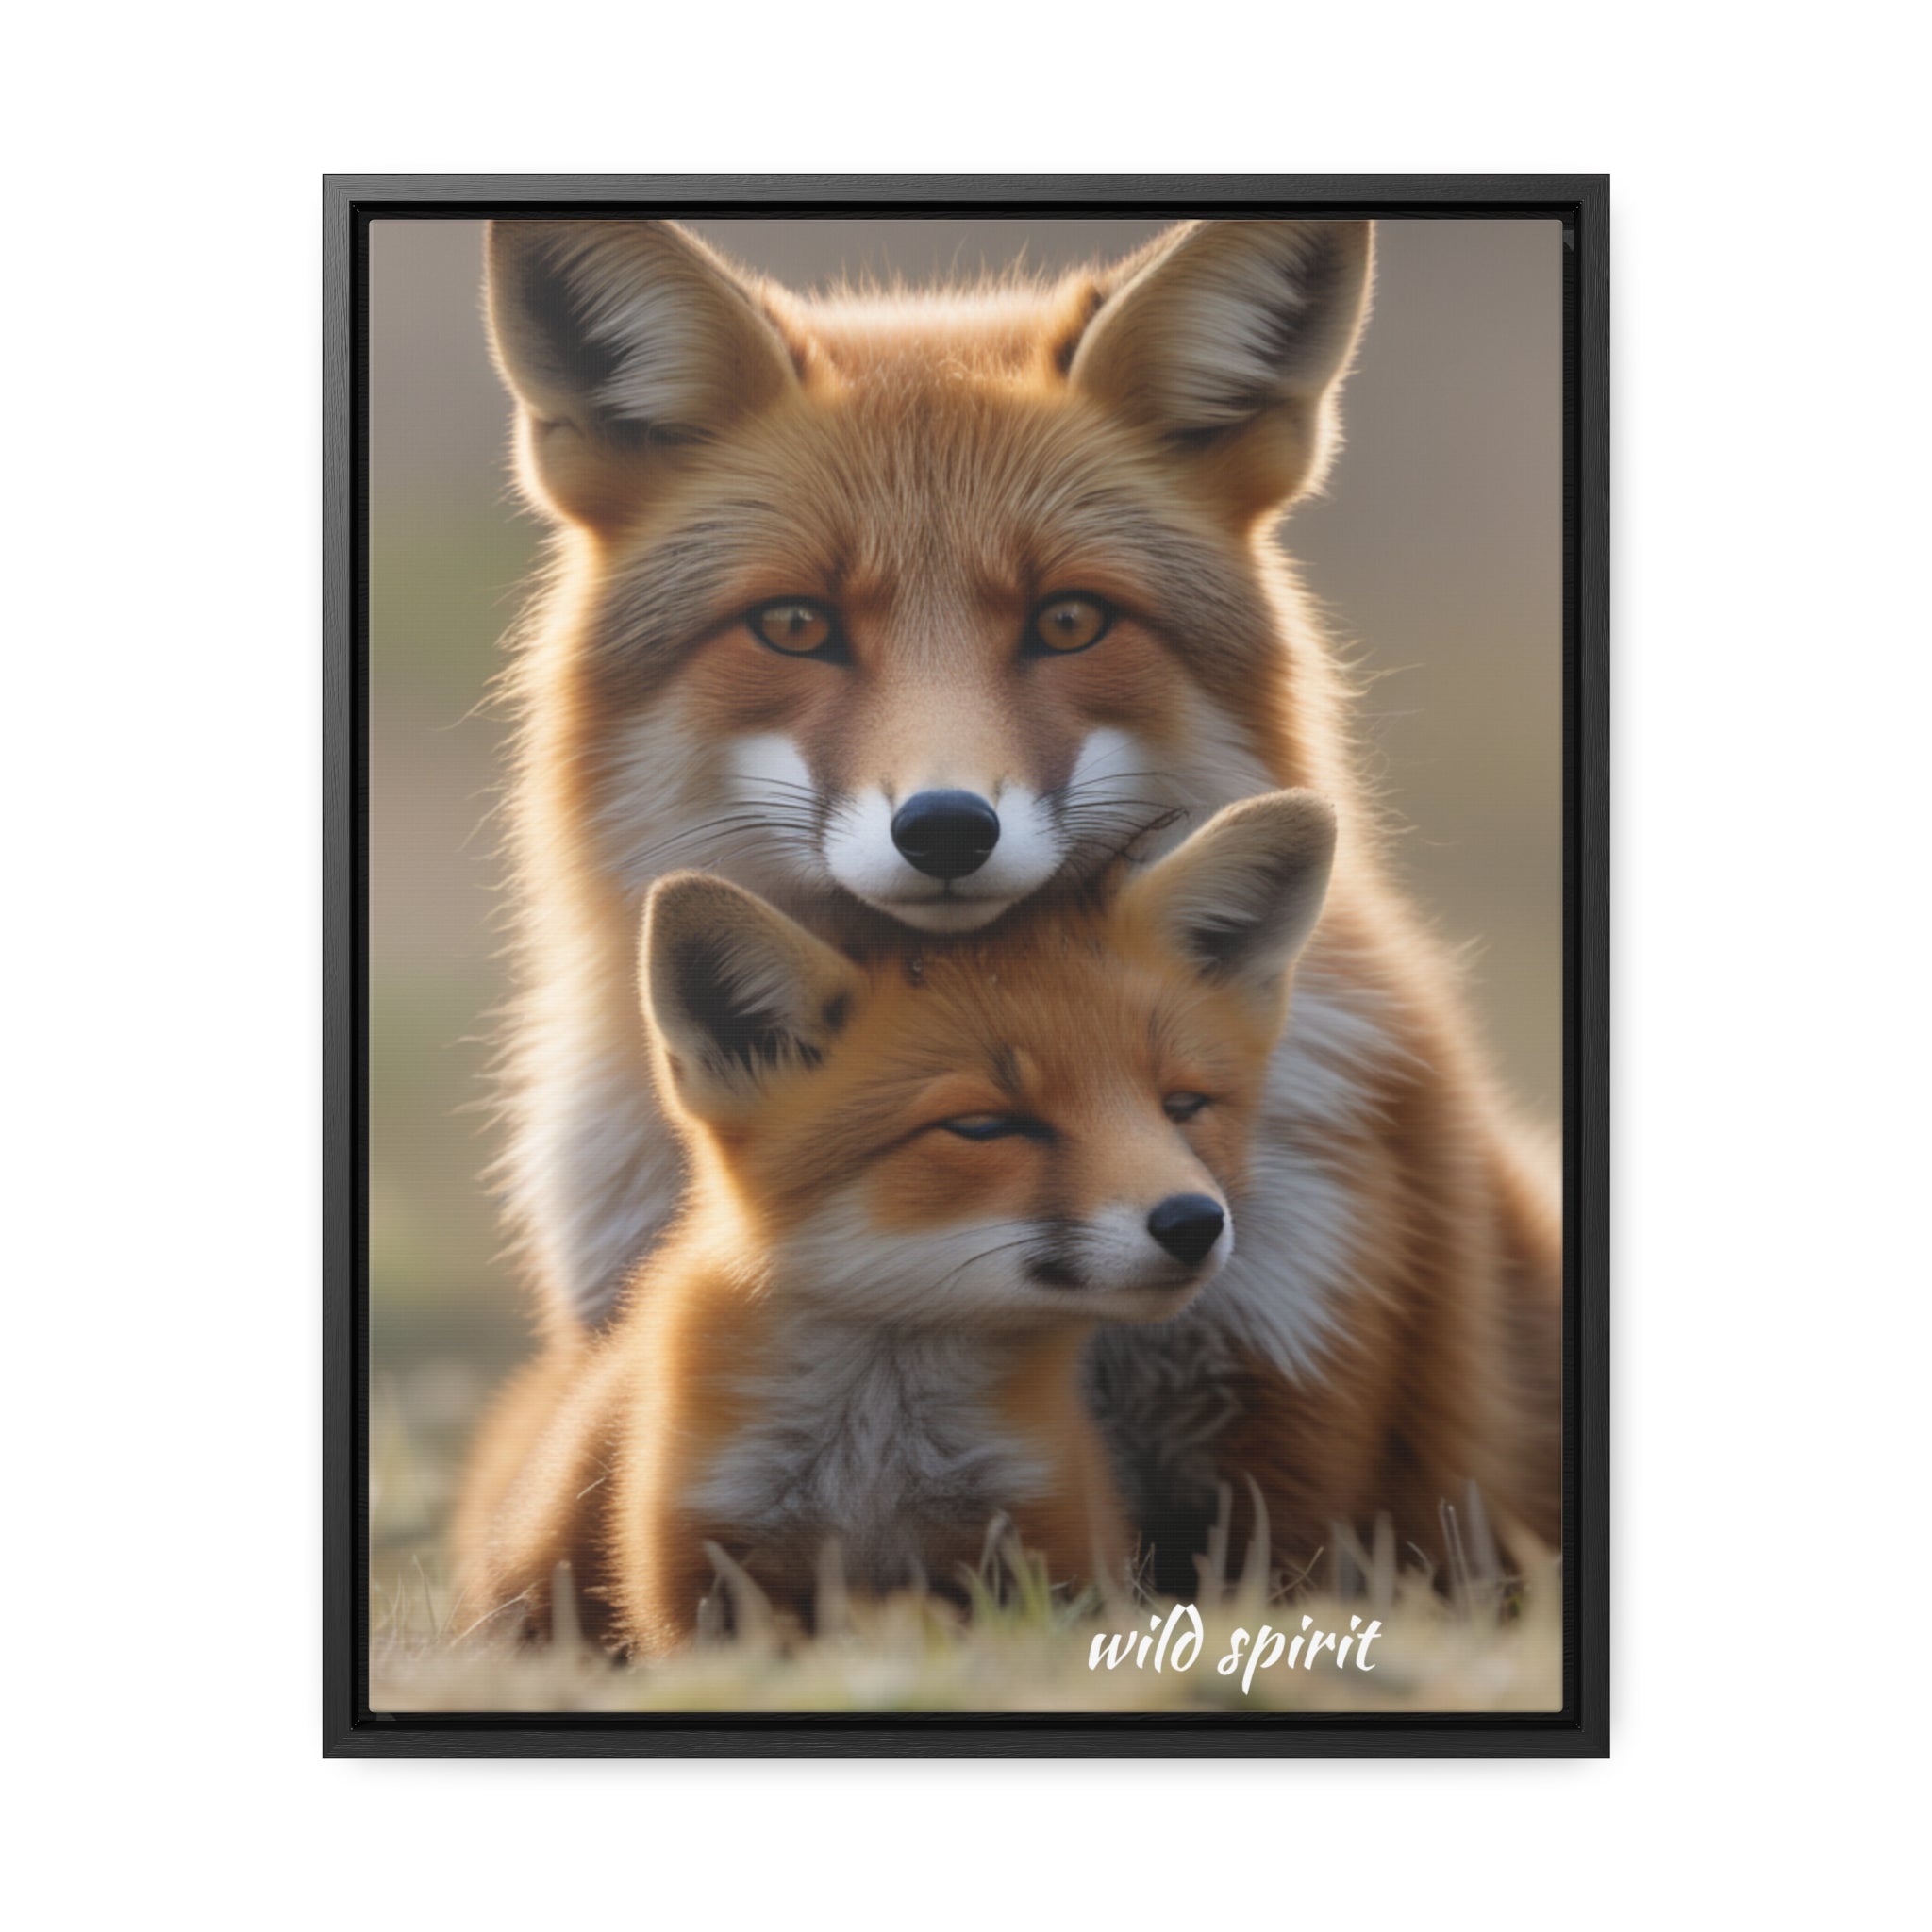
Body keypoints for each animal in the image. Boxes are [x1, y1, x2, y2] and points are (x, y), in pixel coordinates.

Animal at [453, 793, 1338, 1652]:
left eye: (1183, 1106)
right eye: (985, 1126)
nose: (1193, 1222)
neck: (875, 1462)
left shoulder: (1049, 1544)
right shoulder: (699, 1570)